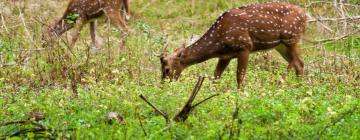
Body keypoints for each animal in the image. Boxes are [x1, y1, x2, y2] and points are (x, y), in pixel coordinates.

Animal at [160, 2, 306, 88]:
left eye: (166, 69)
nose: (163, 86)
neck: (218, 42)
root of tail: (306, 15)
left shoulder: (245, 47)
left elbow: (239, 77)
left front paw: (240, 95)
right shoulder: (225, 56)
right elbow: (216, 76)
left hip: (291, 37)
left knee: (298, 62)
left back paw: (284, 83)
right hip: (281, 45)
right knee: (300, 63)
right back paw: (299, 88)